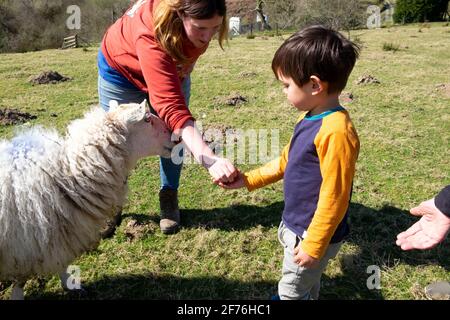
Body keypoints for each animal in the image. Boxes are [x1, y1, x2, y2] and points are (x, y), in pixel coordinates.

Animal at [0, 99, 174, 298]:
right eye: (147, 120)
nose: (175, 138)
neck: (68, 177)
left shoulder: (58, 236)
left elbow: (62, 262)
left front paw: (70, 285)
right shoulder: (24, 245)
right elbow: (20, 281)